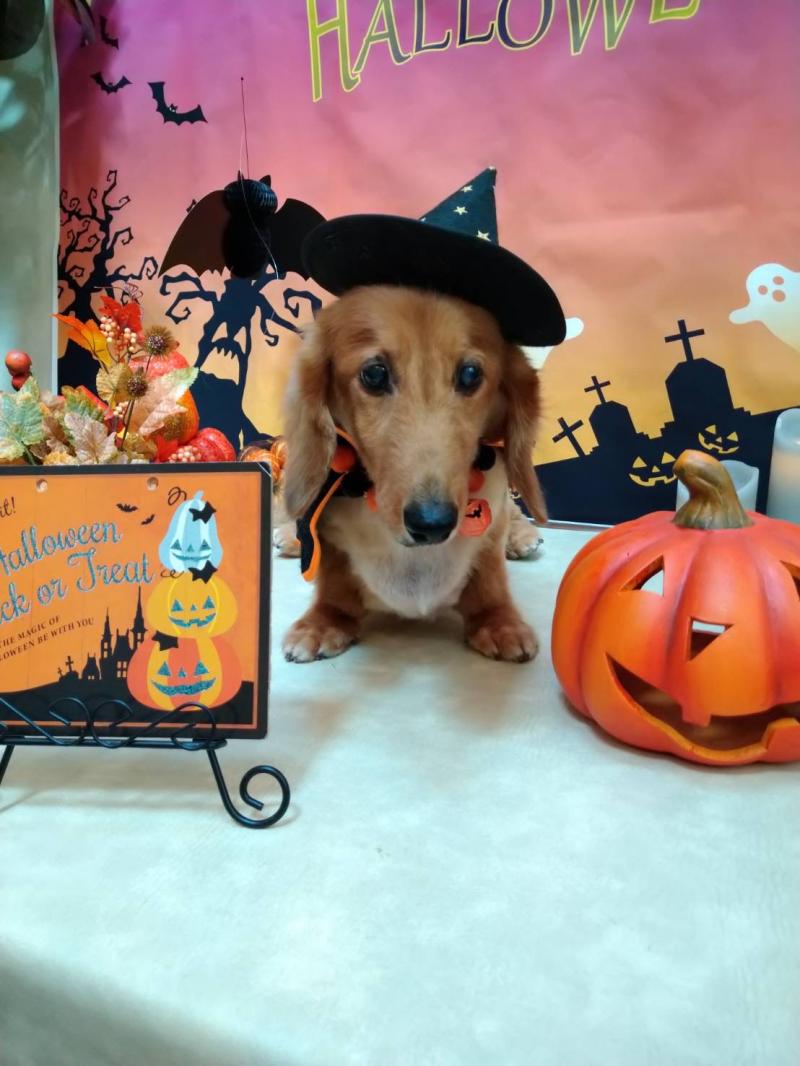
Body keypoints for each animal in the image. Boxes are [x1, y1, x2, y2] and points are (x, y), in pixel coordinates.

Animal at [280, 285, 547, 664]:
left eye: (470, 374)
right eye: (374, 374)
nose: (432, 523)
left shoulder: (490, 529)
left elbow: (489, 579)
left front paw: (499, 622)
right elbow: (333, 585)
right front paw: (323, 621)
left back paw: (523, 536)